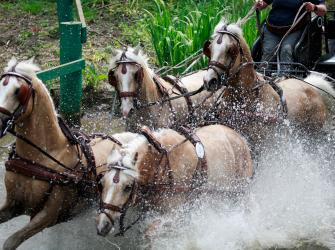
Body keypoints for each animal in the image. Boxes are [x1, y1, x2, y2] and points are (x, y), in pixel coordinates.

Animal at [95, 125, 252, 236]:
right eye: (101, 184)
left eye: (127, 187)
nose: (103, 226)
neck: (160, 164)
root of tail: (239, 137)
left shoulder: (174, 214)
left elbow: (150, 232)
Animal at [202, 19, 335, 146]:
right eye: (210, 49)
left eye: (231, 50)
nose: (209, 81)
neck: (247, 97)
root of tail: (309, 86)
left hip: (314, 134)